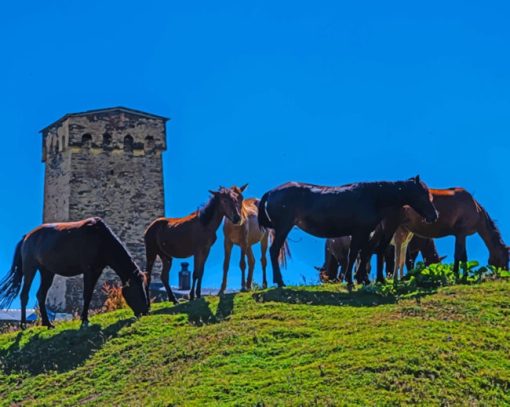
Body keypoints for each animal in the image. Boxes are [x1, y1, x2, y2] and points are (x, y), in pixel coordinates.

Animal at [0, 218, 149, 330]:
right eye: (136, 288)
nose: (145, 311)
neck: (101, 240)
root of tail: (26, 237)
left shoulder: (97, 271)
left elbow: (89, 294)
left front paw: (85, 319)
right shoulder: (89, 271)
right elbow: (86, 294)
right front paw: (84, 320)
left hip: (47, 272)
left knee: (40, 295)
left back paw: (48, 324)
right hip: (30, 268)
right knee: (24, 295)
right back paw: (23, 325)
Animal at [258, 177, 438, 288]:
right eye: (423, 194)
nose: (434, 215)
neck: (373, 197)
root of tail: (271, 192)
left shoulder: (365, 234)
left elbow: (362, 255)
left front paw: (359, 279)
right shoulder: (360, 232)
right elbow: (355, 256)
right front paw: (351, 280)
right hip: (283, 228)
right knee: (274, 251)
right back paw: (280, 282)